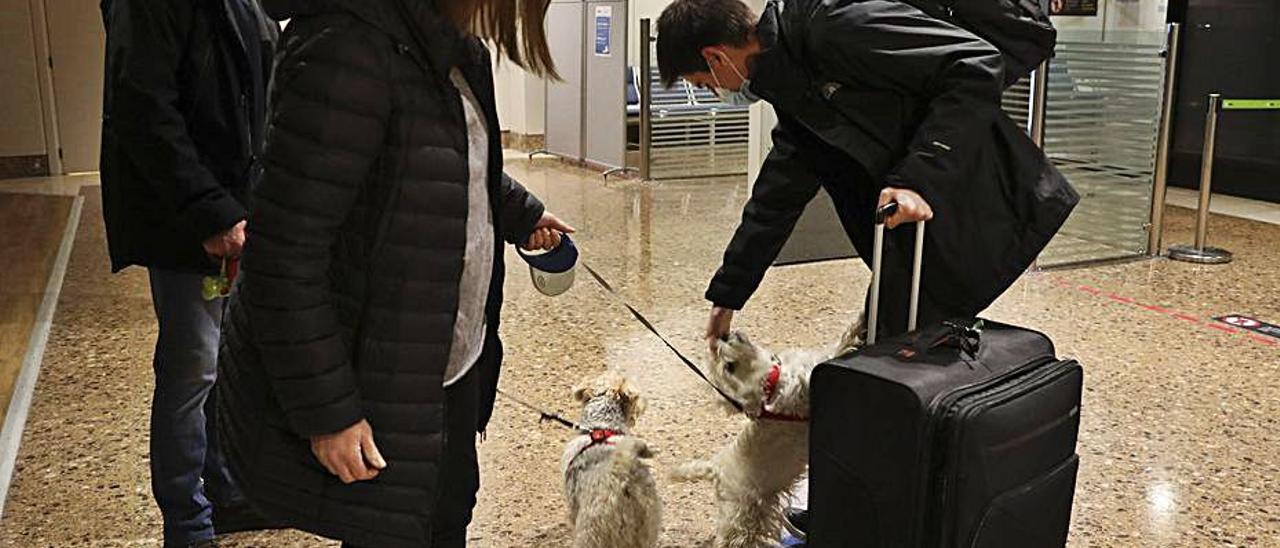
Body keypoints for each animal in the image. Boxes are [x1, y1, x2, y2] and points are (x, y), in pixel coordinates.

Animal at [670, 321, 860, 548]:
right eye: (729, 367)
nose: (720, 338)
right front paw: (858, 324)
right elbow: (841, 345)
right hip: (741, 518)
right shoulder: (803, 389)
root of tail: (716, 468)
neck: (771, 383)